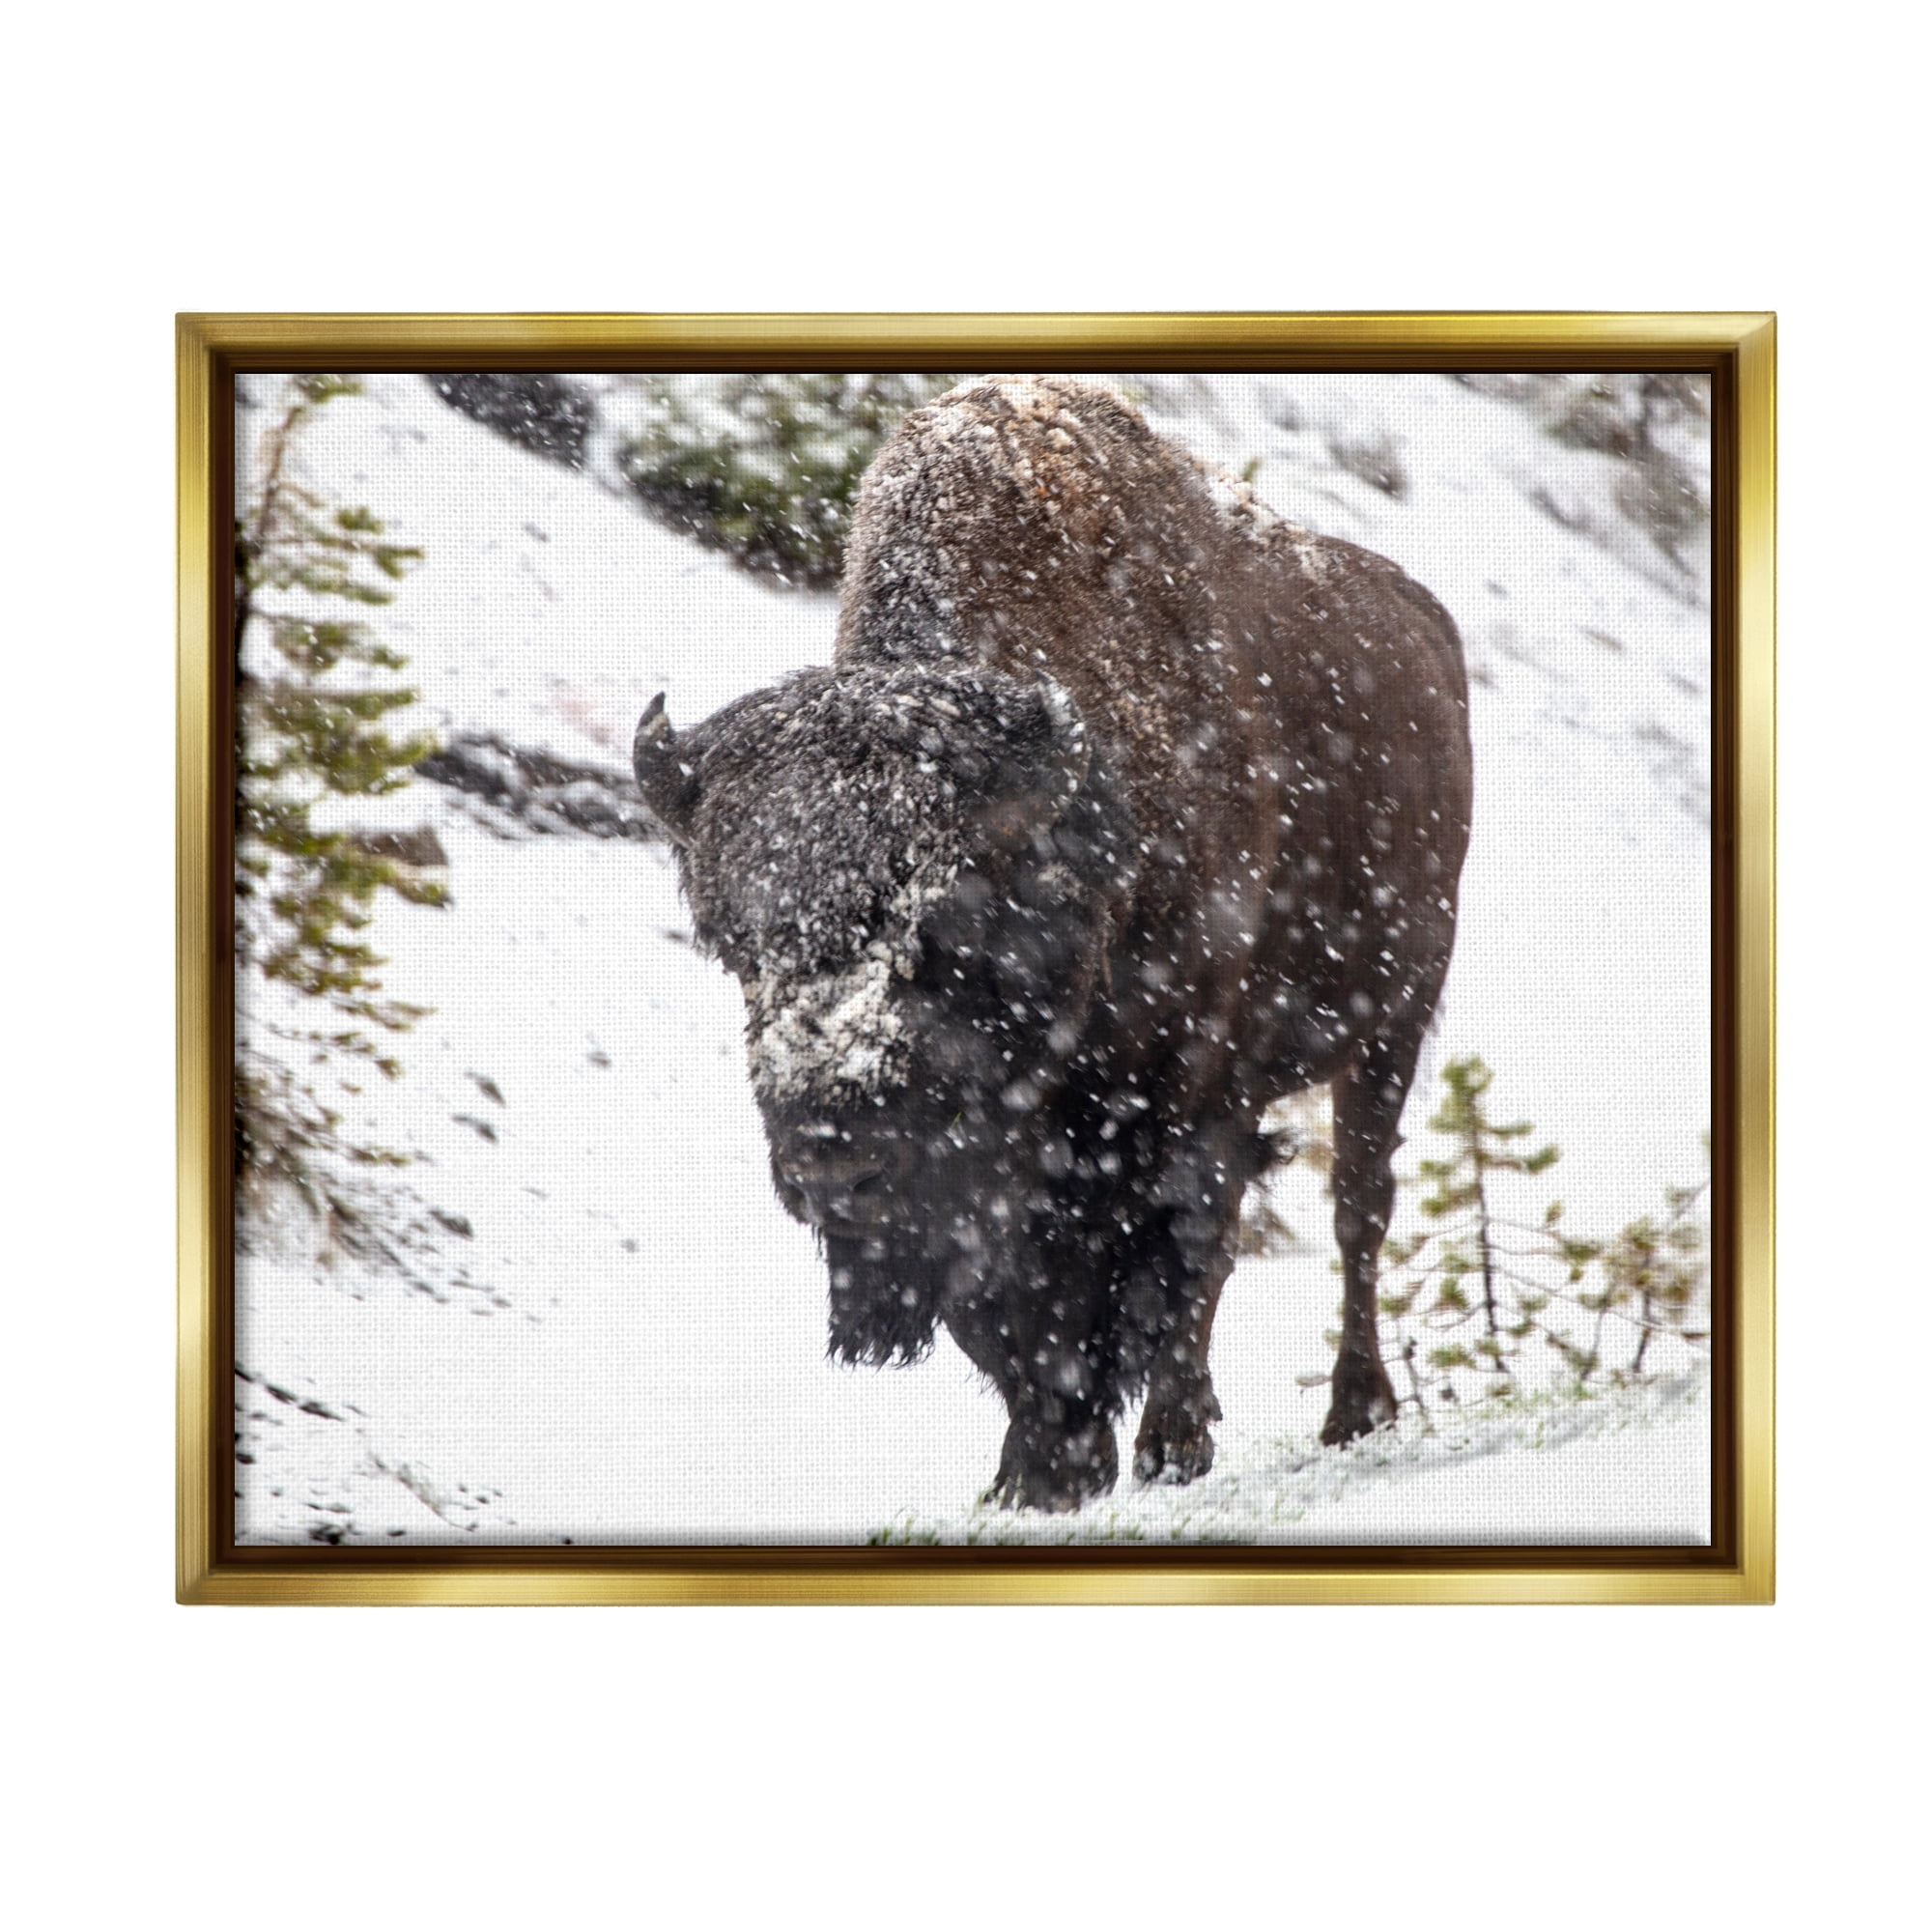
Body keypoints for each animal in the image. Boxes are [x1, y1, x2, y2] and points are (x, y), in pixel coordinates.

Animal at [634, 377, 1472, 1511]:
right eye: (731, 944)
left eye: (940, 933)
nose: (829, 1163)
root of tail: (1425, 628)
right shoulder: (993, 1178)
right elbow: (1007, 1315)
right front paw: (1034, 1473)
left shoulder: (1185, 1099)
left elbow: (1172, 1256)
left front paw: (1151, 1451)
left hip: (1390, 1025)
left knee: (1354, 1210)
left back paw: (1342, 1415)